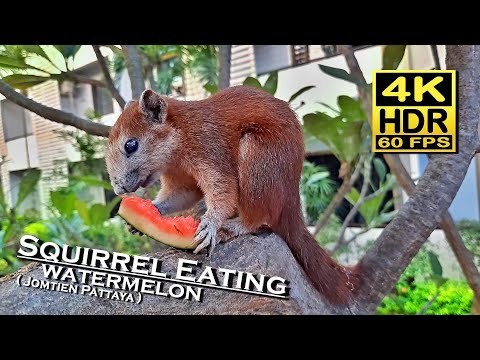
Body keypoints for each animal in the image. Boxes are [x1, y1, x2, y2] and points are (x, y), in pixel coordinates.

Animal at [107, 86, 358, 304]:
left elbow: (223, 191)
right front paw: (150, 211)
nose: (120, 190)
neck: (181, 135)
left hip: (258, 158)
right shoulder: (180, 176)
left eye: (131, 145)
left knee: (257, 218)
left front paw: (210, 224)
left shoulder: (209, 149)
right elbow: (182, 195)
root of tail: (291, 204)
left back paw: (231, 227)